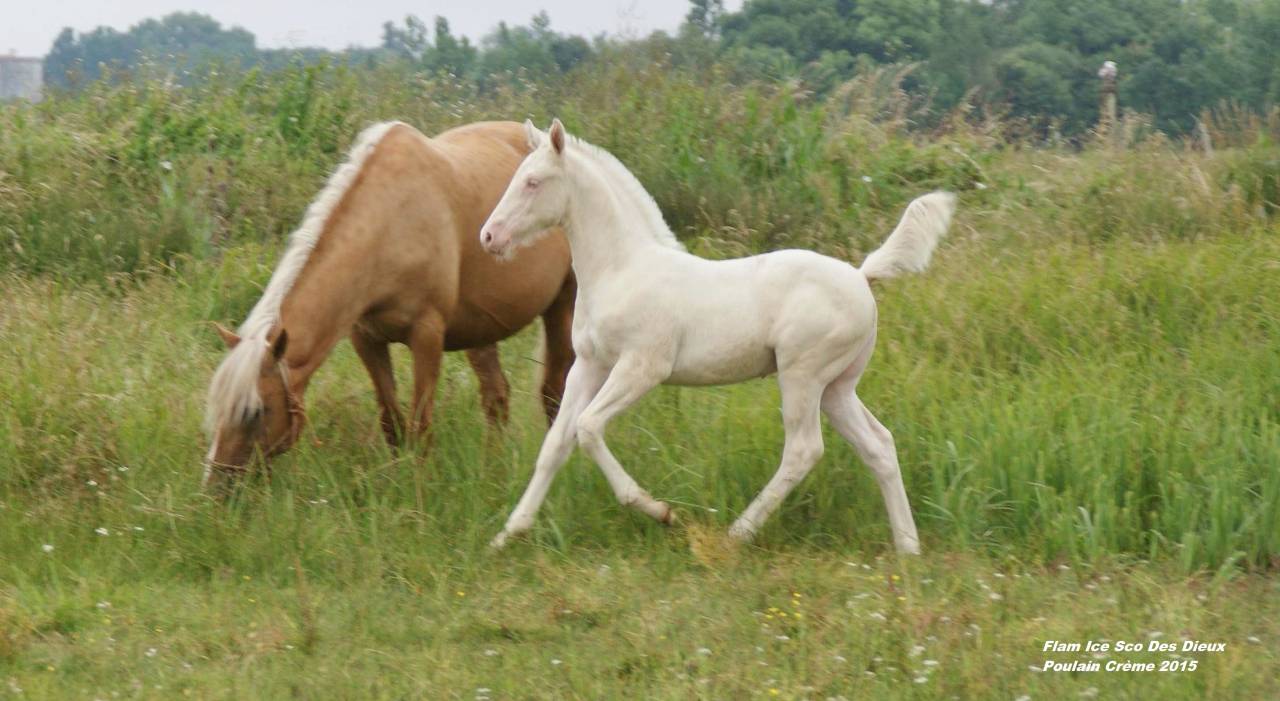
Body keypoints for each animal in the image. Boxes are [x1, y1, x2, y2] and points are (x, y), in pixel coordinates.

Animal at [203, 121, 576, 490]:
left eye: (256, 411)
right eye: (217, 407)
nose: (216, 489)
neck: (390, 222)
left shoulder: (427, 336)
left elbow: (420, 425)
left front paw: (419, 490)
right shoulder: (366, 338)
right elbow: (391, 421)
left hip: (563, 304)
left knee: (554, 392)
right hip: (482, 329)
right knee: (496, 396)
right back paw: (491, 470)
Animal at [479, 119, 956, 553]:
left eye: (533, 182)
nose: (488, 235)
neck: (622, 268)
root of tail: (861, 276)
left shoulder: (642, 367)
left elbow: (588, 427)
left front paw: (659, 510)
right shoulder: (589, 365)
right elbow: (556, 443)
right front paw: (508, 534)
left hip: (802, 375)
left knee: (804, 450)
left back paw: (737, 533)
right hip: (837, 387)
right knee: (879, 445)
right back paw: (908, 547)